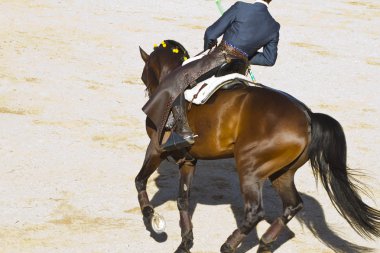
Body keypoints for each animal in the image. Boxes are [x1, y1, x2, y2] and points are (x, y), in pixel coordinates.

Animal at [134, 40, 380, 253]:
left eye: (144, 73)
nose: (147, 89)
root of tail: (308, 116)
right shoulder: (188, 159)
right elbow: (183, 200)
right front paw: (185, 243)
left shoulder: (156, 149)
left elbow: (140, 180)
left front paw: (151, 216)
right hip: (282, 173)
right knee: (293, 205)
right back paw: (264, 244)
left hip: (250, 168)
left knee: (255, 212)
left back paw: (229, 245)